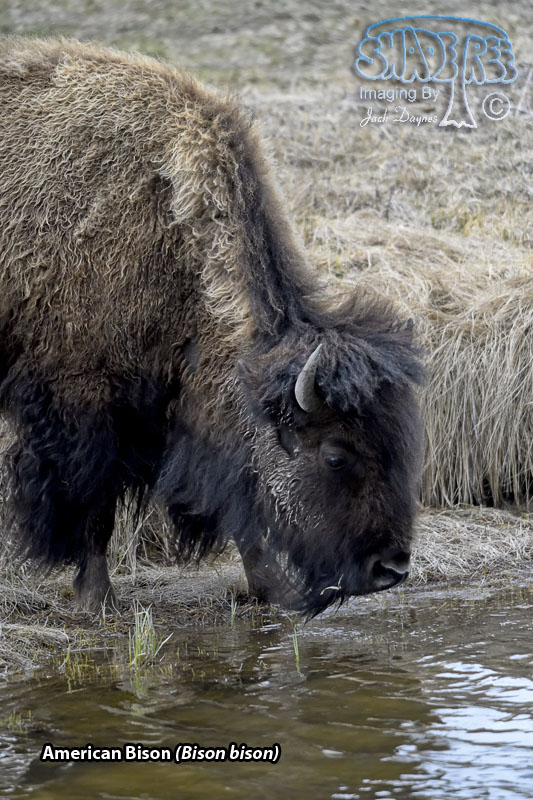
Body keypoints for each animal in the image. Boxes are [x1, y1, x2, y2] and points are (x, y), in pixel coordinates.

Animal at [0, 37, 424, 615]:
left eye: (401, 443)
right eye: (336, 454)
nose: (391, 568)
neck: (169, 227)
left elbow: (241, 507)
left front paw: (269, 590)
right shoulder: (83, 401)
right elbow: (94, 506)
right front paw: (98, 601)